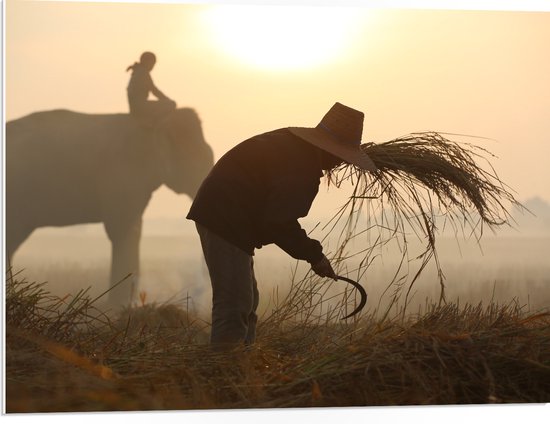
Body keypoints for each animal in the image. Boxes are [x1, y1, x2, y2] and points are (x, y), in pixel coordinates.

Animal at [8, 108, 216, 308]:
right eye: (195, 159)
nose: (200, 292)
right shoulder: (120, 177)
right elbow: (121, 230)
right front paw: (120, 305)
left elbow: (134, 230)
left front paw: (128, 305)